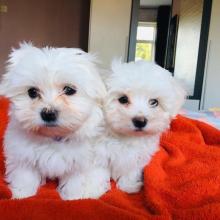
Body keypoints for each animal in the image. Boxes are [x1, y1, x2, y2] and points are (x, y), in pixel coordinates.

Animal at [0, 42, 110, 199]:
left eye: (69, 90)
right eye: (32, 92)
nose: (48, 113)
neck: (52, 137)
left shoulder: (80, 161)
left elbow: (75, 182)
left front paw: (73, 197)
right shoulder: (23, 156)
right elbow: (25, 177)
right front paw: (22, 195)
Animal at [98, 60, 186, 192]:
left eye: (154, 102)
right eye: (123, 99)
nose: (140, 121)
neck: (127, 137)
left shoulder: (138, 158)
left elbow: (130, 172)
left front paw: (129, 186)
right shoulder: (100, 153)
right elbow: (98, 172)